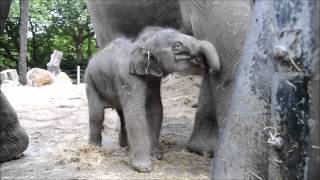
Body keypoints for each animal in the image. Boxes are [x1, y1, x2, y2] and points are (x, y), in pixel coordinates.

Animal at [84, 27, 220, 173]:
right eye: (177, 47)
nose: (210, 68)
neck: (142, 44)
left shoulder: (154, 81)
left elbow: (155, 109)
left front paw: (156, 156)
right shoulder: (128, 78)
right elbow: (135, 113)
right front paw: (144, 168)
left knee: (122, 115)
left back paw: (125, 147)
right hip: (90, 83)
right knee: (97, 115)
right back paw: (94, 148)